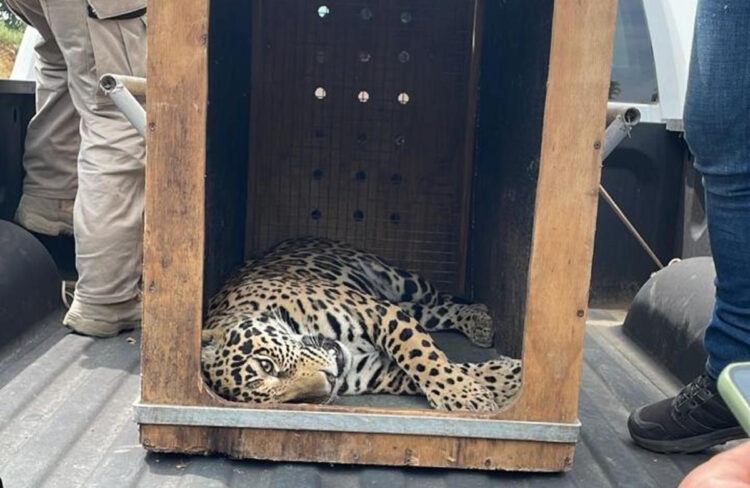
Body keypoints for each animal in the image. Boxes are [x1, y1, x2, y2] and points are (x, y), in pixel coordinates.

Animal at [201, 238, 522, 412]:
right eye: (288, 401)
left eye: (267, 365)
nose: (331, 382)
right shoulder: (375, 373)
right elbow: (435, 371)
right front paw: (506, 377)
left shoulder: (380, 313)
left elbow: (423, 358)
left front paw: (464, 396)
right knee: (434, 312)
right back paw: (478, 322)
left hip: (400, 281)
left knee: (439, 298)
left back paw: (480, 318)